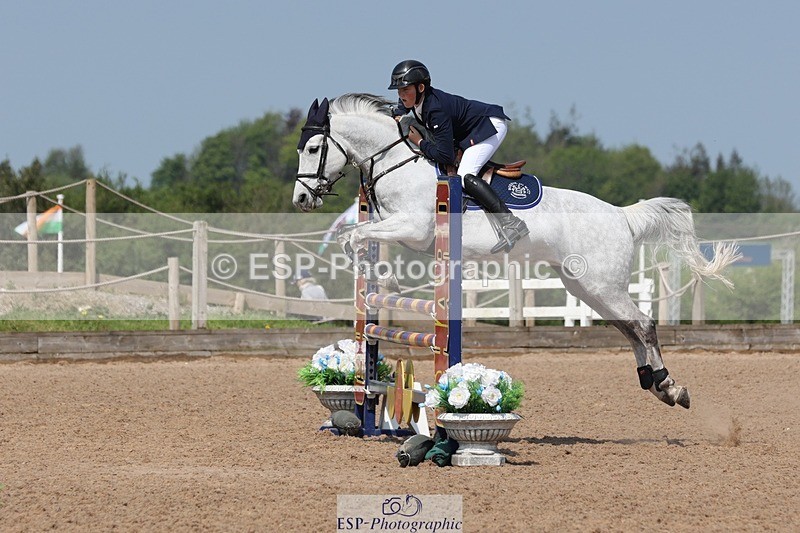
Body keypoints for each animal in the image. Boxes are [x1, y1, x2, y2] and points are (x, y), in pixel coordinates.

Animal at [292, 93, 740, 409]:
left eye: (313, 149)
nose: (301, 199)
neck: (396, 162)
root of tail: (622, 216)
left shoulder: (415, 229)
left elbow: (357, 237)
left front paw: (386, 280)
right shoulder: (397, 228)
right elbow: (355, 237)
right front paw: (379, 277)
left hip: (602, 283)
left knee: (643, 324)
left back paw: (669, 386)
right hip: (585, 286)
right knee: (628, 327)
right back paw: (656, 383)